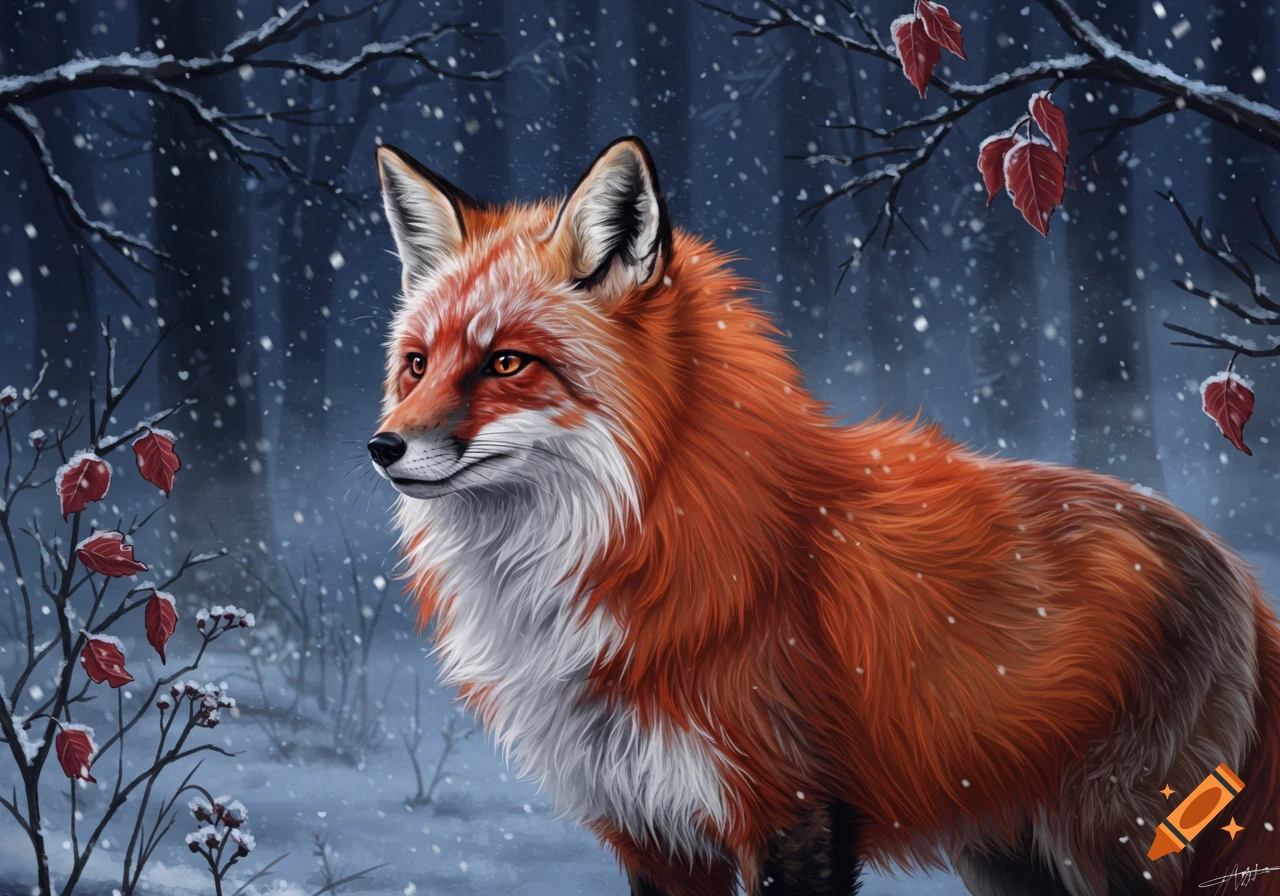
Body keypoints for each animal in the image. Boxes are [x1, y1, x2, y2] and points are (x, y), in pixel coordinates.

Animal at [368, 135, 1280, 896]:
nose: (382, 447)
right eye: (416, 364)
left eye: (506, 363)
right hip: (1011, 859)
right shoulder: (654, 832)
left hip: (1117, 847)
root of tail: (1233, 565)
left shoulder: (794, 810)